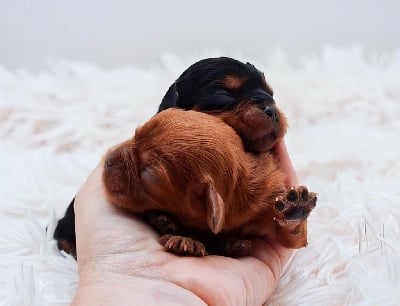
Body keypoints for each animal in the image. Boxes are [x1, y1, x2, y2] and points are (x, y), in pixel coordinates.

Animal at [104, 109, 318, 256]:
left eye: (148, 175)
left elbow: (290, 239)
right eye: (136, 133)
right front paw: (183, 239)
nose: (106, 161)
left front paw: (294, 211)